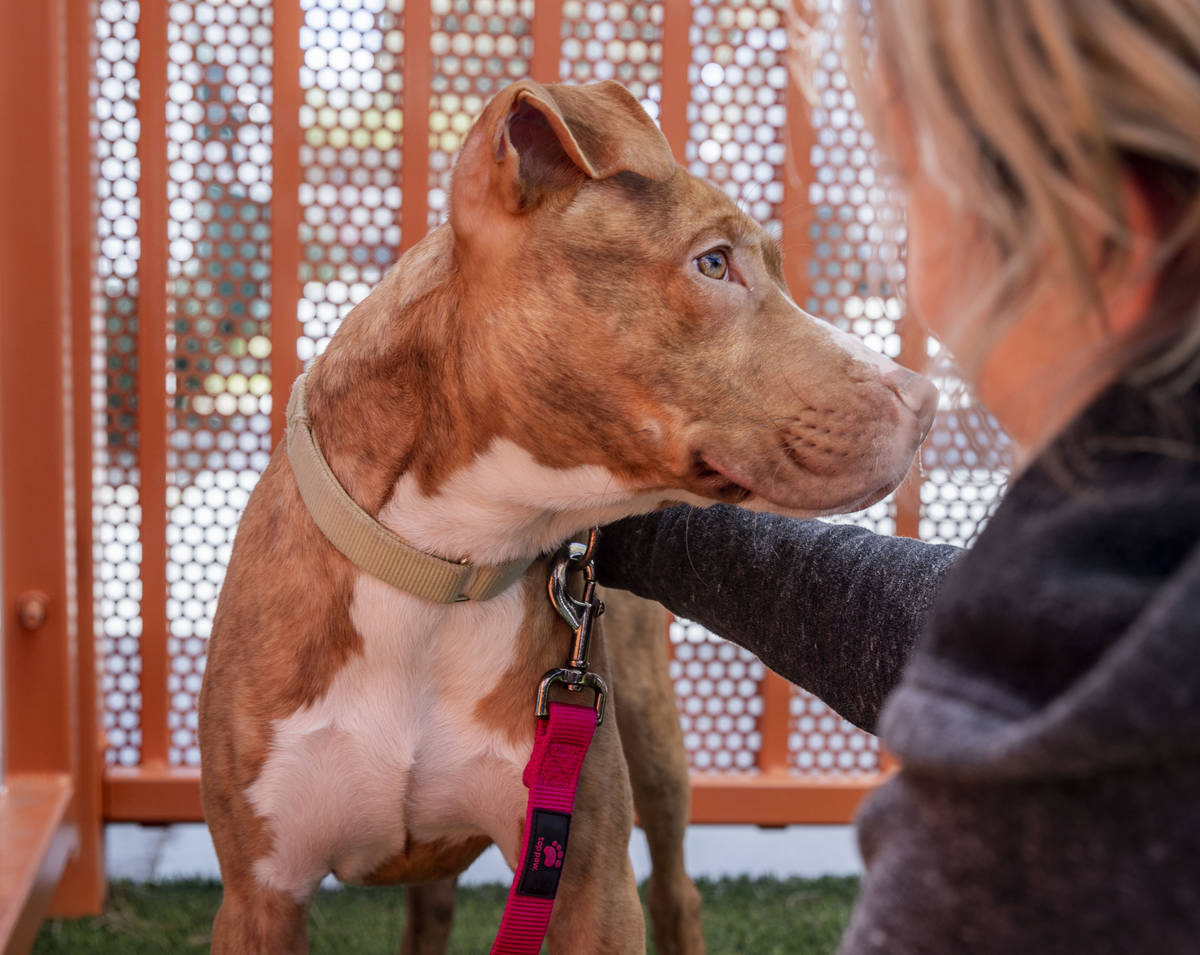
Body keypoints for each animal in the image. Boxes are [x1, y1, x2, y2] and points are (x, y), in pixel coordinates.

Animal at [199, 78, 936, 950]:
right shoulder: (261, 893)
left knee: (677, 887)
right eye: (713, 262)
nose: (926, 398)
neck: (448, 564)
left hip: (651, 731)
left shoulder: (586, 874)